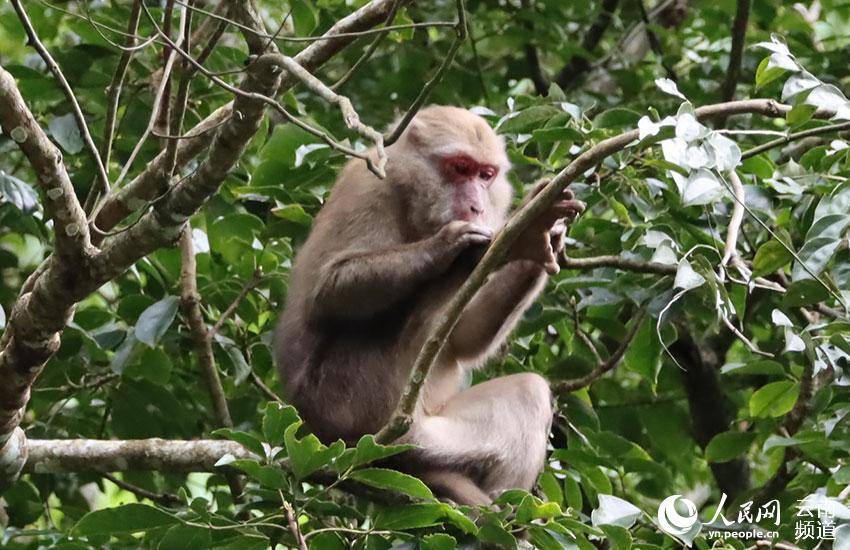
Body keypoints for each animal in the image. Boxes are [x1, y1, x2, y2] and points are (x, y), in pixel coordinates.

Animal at [274, 105, 588, 506]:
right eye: (460, 168)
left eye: (486, 175)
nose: (476, 205)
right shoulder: (371, 186)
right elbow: (329, 291)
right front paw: (456, 246)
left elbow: (465, 340)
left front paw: (533, 235)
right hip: (350, 399)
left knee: (526, 391)